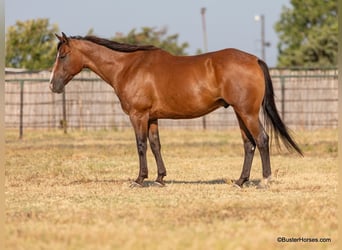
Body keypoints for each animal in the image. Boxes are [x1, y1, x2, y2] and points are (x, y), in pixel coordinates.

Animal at [48, 32, 302, 188]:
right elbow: (155, 145)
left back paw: (265, 180)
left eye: (63, 55)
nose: (52, 85)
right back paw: (240, 181)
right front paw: (160, 178)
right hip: (240, 113)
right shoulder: (152, 118)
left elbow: (140, 146)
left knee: (261, 140)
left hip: (247, 112)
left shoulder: (138, 116)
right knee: (249, 144)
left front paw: (140, 179)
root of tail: (254, 60)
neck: (128, 67)